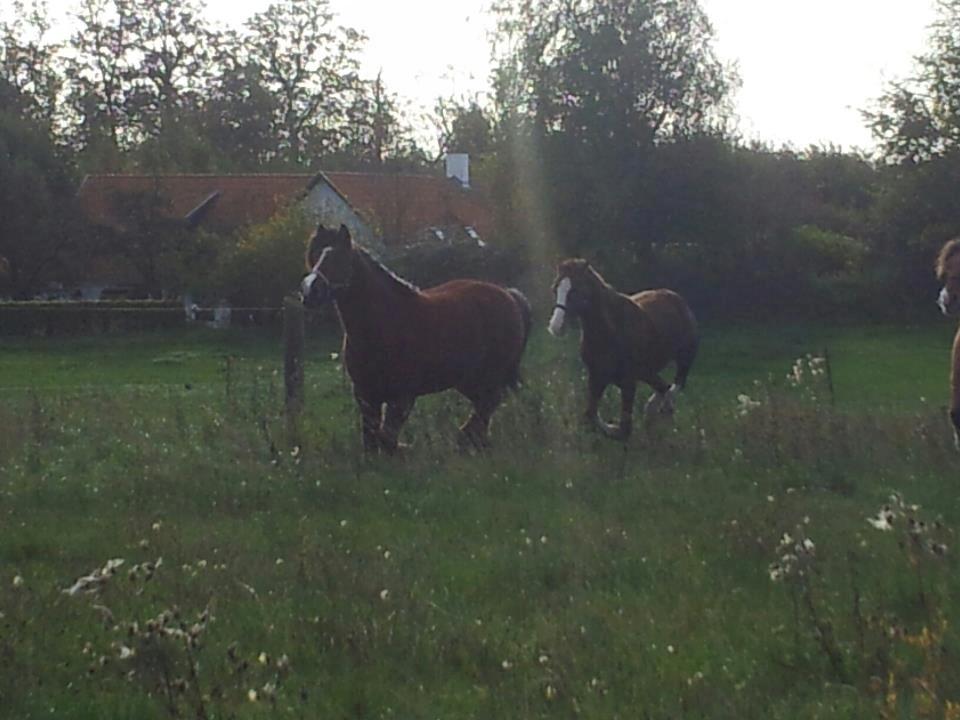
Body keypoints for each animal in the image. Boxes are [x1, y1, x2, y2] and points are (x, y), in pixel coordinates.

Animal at [300, 222, 532, 452]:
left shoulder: (402, 397)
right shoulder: (365, 396)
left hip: (489, 376)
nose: (310, 292)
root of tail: (508, 295)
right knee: (485, 406)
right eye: (314, 256)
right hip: (469, 380)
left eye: (339, 258)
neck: (382, 326)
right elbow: (372, 443)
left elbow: (387, 440)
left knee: (489, 403)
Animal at [548, 258, 696, 438]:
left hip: (684, 359)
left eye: (575, 290)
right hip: (647, 372)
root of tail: (676, 298)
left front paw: (613, 427)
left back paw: (660, 410)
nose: (556, 326)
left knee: (674, 386)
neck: (610, 332)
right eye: (555, 289)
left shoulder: (628, 382)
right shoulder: (596, 377)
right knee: (664, 387)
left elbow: (623, 429)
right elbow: (590, 416)